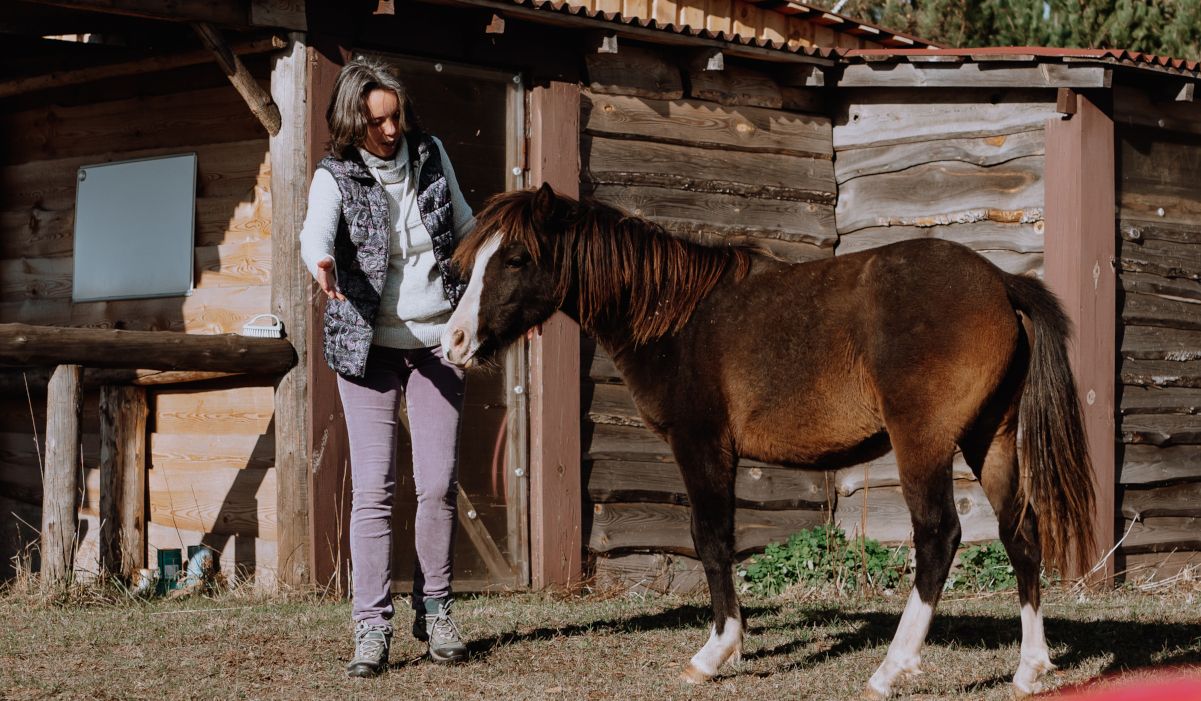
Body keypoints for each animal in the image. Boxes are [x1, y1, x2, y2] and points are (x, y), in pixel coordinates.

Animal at [441, 183, 1096, 698]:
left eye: (516, 257)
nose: (453, 341)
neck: (676, 317)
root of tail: (1000, 281)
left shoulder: (701, 445)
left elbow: (711, 541)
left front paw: (716, 651)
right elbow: (723, 542)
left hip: (923, 443)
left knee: (939, 537)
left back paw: (892, 668)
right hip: (993, 440)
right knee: (1021, 535)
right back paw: (1030, 668)